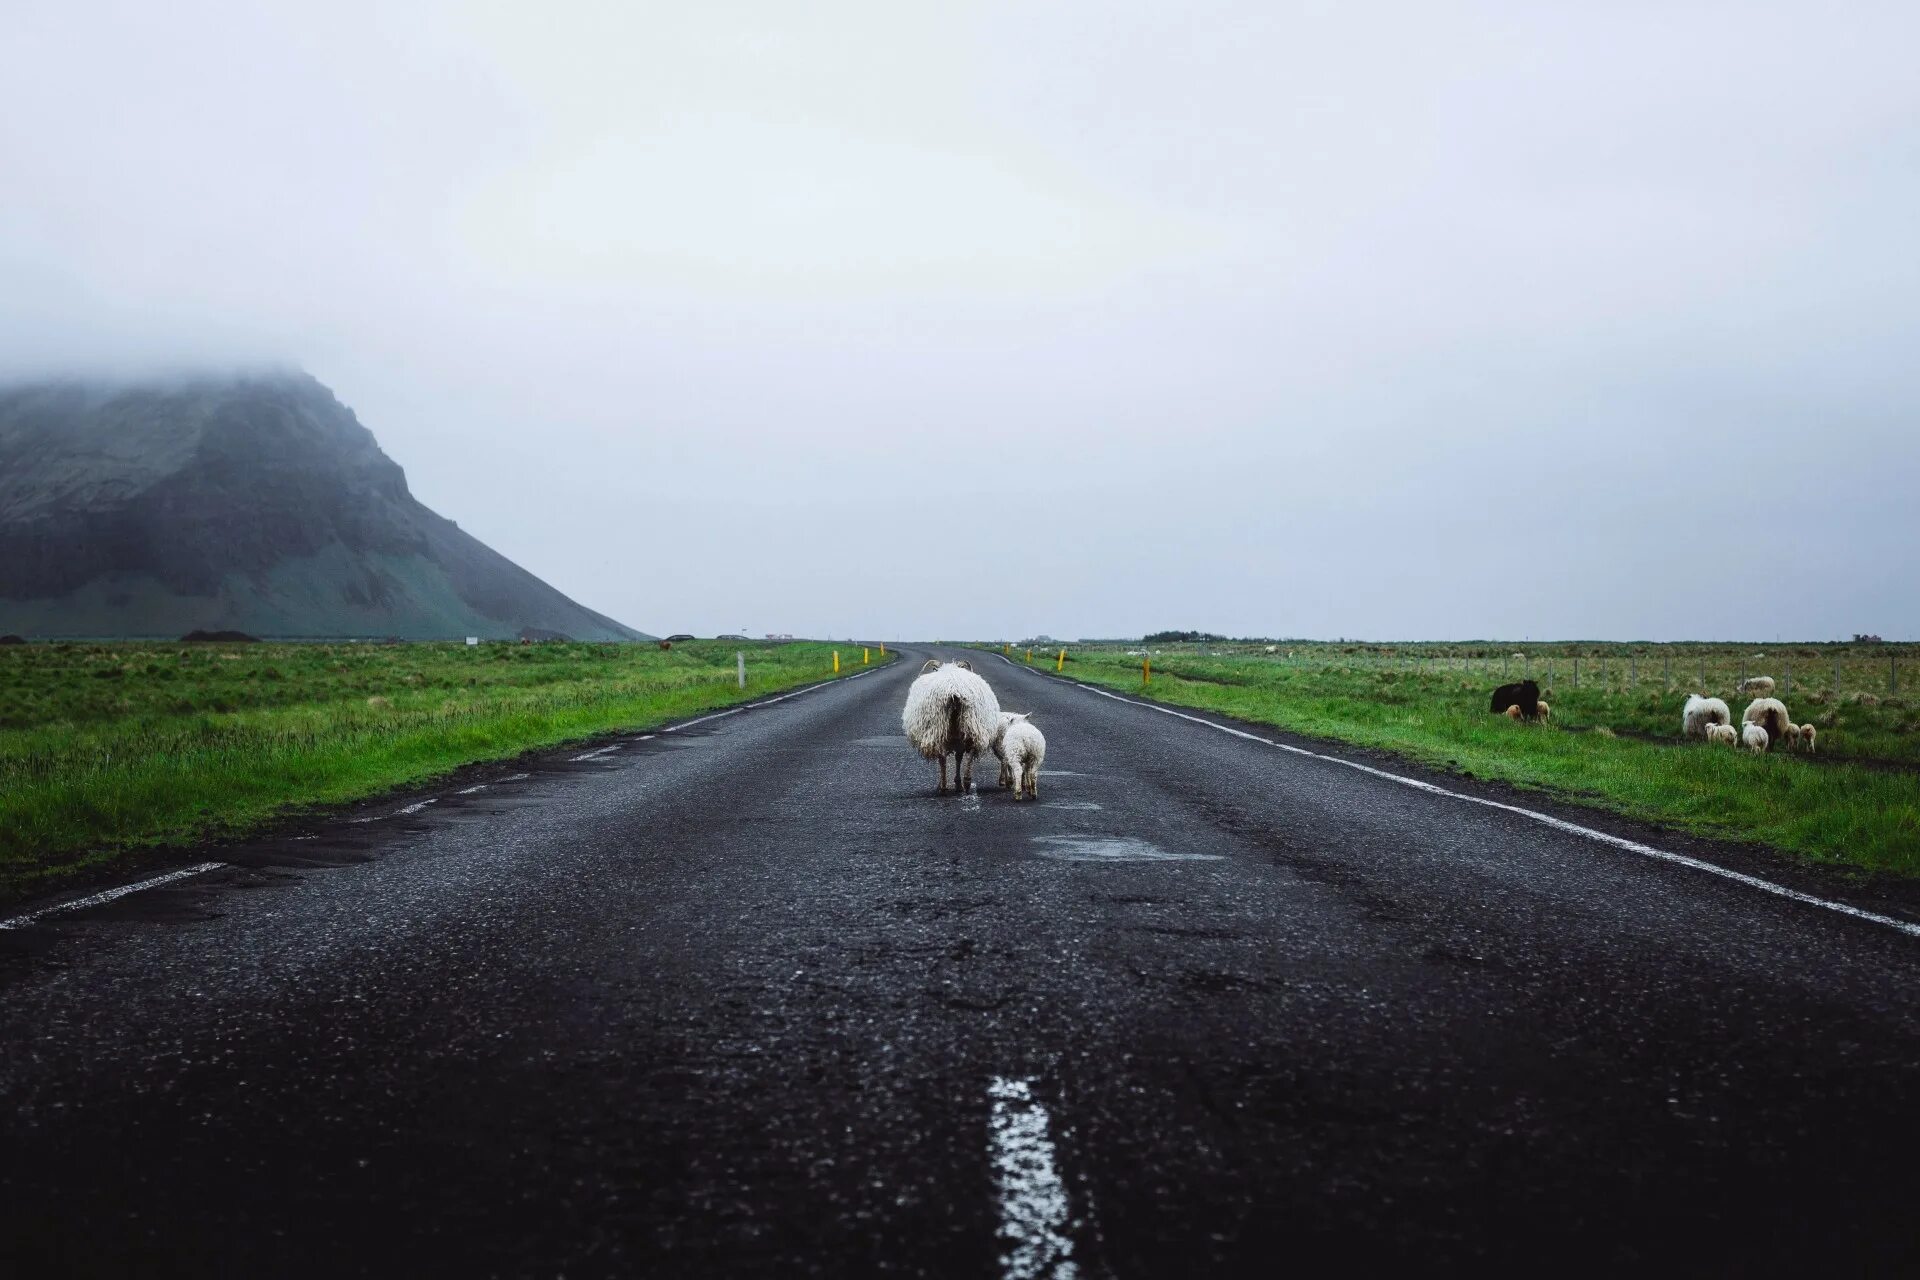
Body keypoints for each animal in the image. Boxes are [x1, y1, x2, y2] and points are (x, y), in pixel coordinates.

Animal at [902, 660, 1006, 790]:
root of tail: (953, 691)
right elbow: (958, 758)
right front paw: (957, 782)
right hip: (973, 724)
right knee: (970, 751)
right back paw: (966, 781)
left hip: (939, 728)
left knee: (943, 758)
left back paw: (944, 785)